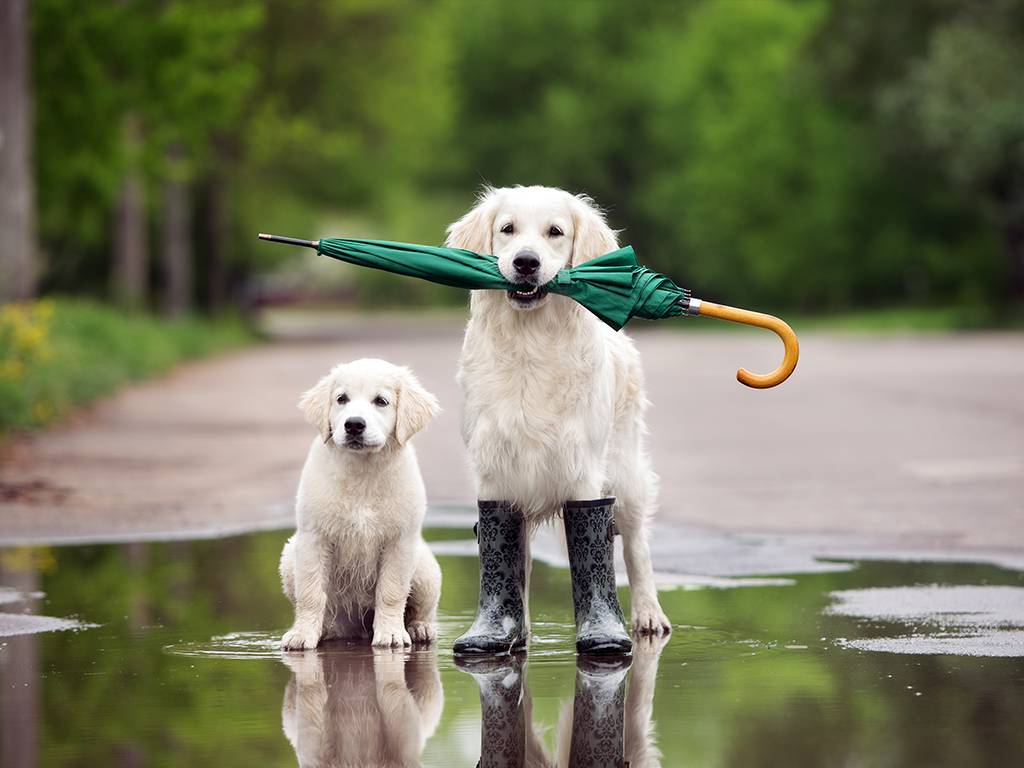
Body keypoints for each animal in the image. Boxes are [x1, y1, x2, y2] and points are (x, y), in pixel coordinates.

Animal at [280, 360, 440, 651]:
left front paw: (390, 634)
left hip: (424, 568)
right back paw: (326, 630)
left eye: (381, 401)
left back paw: (419, 628)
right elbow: (310, 593)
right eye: (341, 399)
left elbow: (391, 592)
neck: (362, 471)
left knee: (422, 608)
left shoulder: (400, 541)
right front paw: (302, 635)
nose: (354, 424)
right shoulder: (313, 538)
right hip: (289, 557)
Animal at [448, 186, 671, 638]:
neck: (531, 343)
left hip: (627, 471)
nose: (525, 262)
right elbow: (507, 557)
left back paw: (648, 615)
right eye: (507, 229)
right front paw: (502, 630)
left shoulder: (583, 468)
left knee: (636, 544)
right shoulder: (495, 469)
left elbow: (595, 546)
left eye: (555, 232)